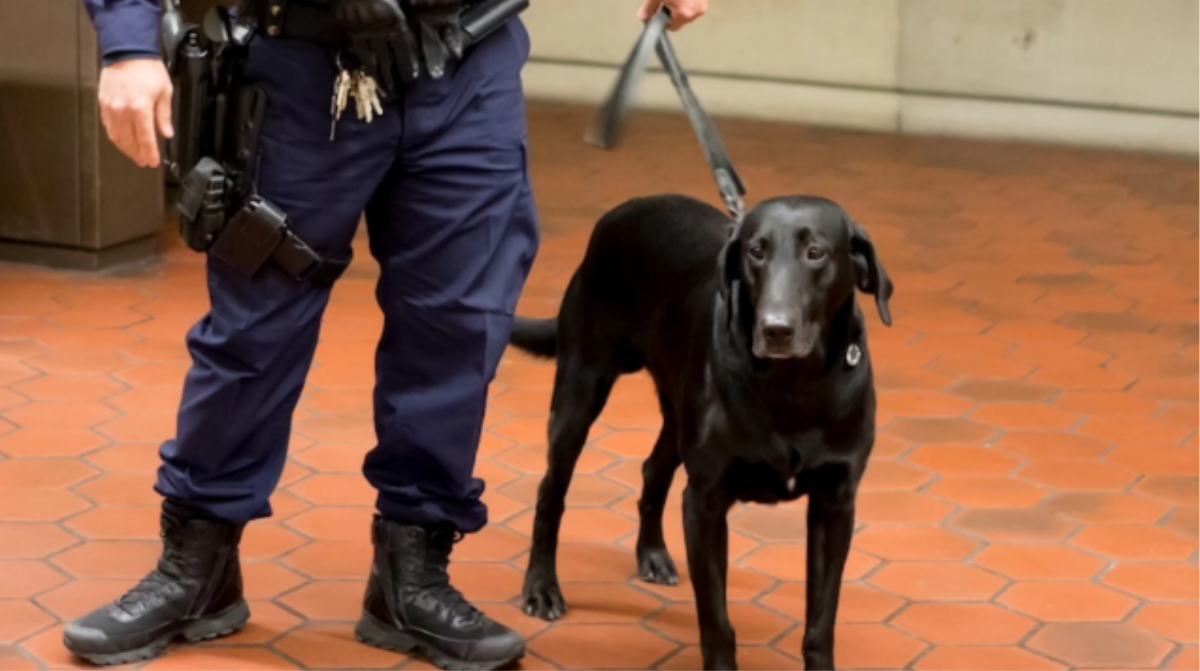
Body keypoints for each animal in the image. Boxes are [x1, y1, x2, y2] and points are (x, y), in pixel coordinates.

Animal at [506, 194, 892, 671]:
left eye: (816, 252)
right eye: (756, 251)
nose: (774, 329)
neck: (794, 386)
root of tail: (626, 208)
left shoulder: (834, 505)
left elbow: (821, 622)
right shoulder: (705, 502)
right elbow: (716, 620)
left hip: (676, 413)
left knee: (653, 470)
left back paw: (652, 553)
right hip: (580, 392)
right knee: (551, 491)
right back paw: (542, 587)